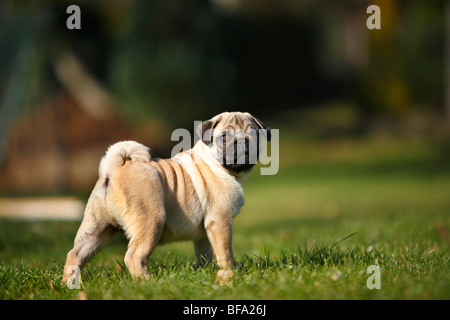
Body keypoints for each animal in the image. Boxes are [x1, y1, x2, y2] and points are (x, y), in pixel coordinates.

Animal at [62, 111, 270, 282]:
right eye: (225, 137)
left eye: (254, 136)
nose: (243, 142)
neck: (216, 164)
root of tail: (113, 170)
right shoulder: (220, 221)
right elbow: (225, 251)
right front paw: (229, 273)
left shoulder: (204, 232)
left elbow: (206, 253)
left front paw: (210, 271)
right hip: (151, 221)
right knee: (134, 257)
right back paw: (147, 282)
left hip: (96, 229)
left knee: (75, 255)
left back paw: (69, 284)